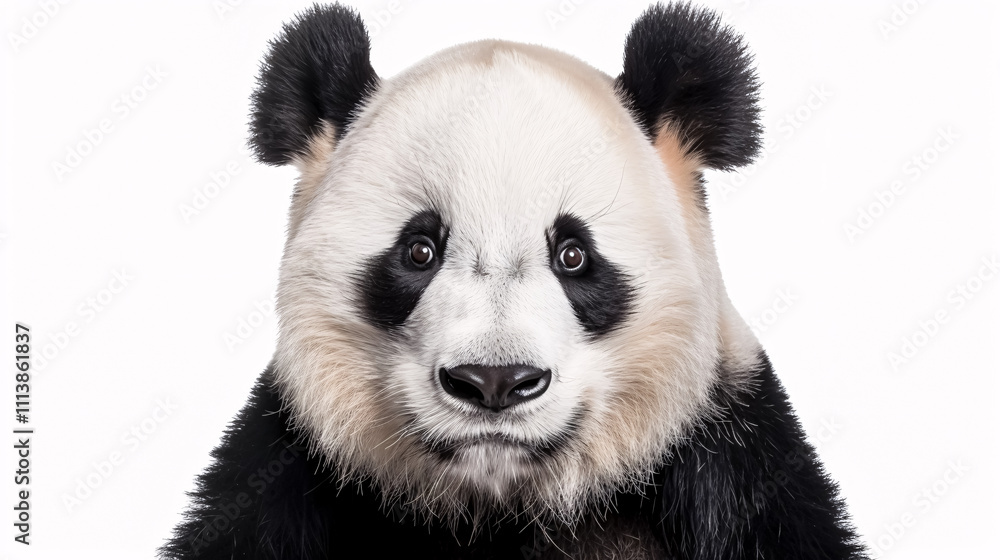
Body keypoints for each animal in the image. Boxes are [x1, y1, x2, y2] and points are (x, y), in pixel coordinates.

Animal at [162, 3, 868, 559]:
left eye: (574, 256)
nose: (494, 383)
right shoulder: (289, 465)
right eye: (419, 250)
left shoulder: (733, 457)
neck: (498, 505)